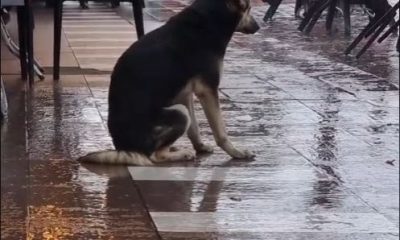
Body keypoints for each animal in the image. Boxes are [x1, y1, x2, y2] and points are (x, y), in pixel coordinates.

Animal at [78, 0, 260, 165]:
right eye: (249, 8)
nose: (258, 27)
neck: (211, 17)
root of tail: (124, 148)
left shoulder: (185, 93)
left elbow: (194, 128)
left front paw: (200, 147)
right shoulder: (207, 90)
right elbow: (220, 131)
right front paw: (236, 152)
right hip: (179, 113)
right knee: (155, 155)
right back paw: (181, 154)